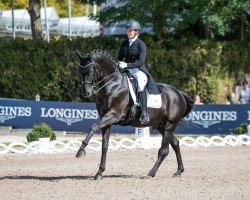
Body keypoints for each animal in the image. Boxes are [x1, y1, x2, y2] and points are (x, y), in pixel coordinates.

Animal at [75, 48, 194, 180]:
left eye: (91, 71)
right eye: (80, 71)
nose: (86, 92)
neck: (113, 85)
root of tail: (179, 93)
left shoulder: (114, 115)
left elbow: (94, 126)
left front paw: (80, 151)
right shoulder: (106, 120)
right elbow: (104, 146)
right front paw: (99, 173)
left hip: (169, 124)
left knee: (164, 150)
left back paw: (151, 173)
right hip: (161, 126)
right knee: (176, 144)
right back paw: (179, 171)